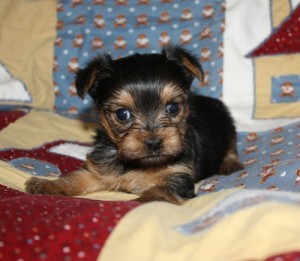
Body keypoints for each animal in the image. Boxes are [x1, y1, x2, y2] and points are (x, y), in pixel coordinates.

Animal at [25, 44, 244, 203]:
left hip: (227, 121)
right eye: (122, 114)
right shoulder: (101, 170)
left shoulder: (178, 176)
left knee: (231, 144)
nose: (154, 143)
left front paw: (140, 201)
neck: (141, 164)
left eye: (173, 108)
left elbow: (158, 192)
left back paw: (230, 163)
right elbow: (77, 177)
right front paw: (48, 185)